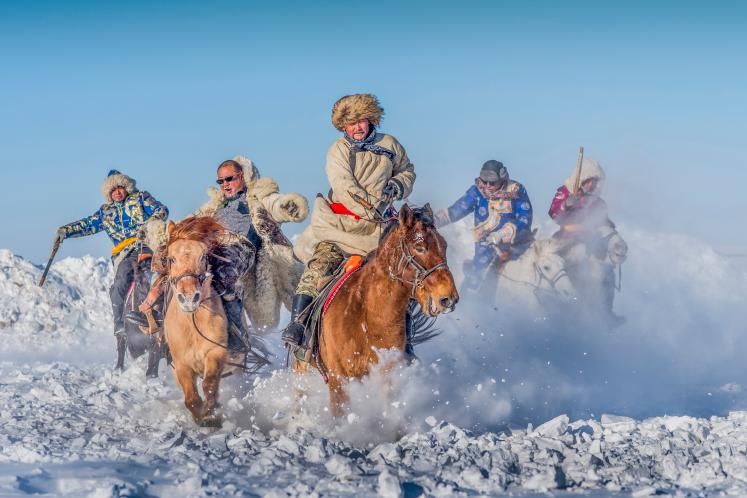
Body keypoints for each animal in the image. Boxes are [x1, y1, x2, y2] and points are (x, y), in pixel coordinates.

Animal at [165, 216, 250, 426]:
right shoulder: (181, 364)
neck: (192, 325)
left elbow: (209, 385)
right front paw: (202, 417)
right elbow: (191, 399)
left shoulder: (216, 352)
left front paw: (211, 415)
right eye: (171, 258)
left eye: (203, 256)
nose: (189, 298)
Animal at [294, 203, 458, 416]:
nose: (448, 298)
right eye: (419, 247)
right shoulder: (338, 380)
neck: (368, 316)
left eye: (444, 245)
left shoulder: (388, 373)